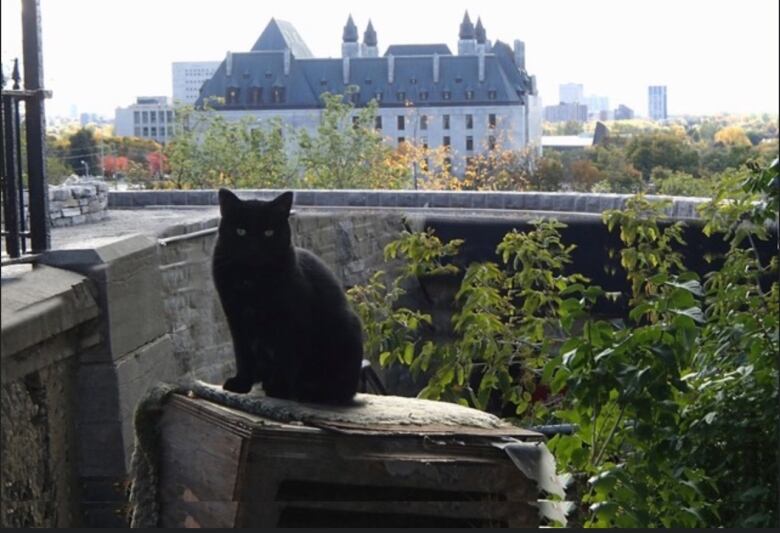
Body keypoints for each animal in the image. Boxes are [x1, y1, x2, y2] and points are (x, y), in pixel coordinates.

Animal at [210, 189, 362, 402]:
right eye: (241, 231)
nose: (253, 249)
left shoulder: (290, 321)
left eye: (268, 232)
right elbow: (243, 354)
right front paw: (241, 384)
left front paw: (278, 389)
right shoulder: (236, 318)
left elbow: (285, 355)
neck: (252, 279)